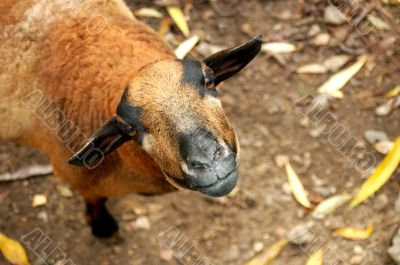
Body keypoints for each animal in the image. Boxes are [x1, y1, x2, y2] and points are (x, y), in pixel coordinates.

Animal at [0, 0, 260, 235]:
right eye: (129, 129)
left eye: (209, 80)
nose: (208, 161)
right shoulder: (76, 178)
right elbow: (95, 200)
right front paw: (103, 226)